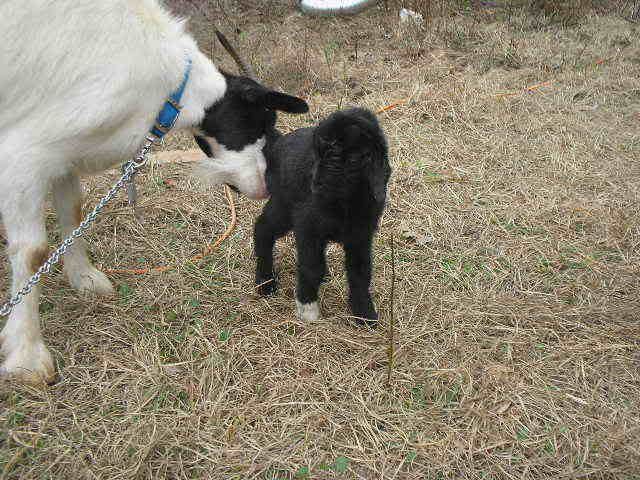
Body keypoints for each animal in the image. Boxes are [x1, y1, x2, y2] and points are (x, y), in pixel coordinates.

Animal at [0, 0, 308, 383]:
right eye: (260, 122)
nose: (266, 185)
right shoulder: (24, 156)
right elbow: (33, 252)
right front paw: (27, 358)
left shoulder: (62, 150)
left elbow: (73, 211)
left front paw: (85, 280)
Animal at [252, 108, 390, 326]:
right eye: (316, 155)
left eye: (336, 157)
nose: (314, 185)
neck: (346, 202)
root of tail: (278, 143)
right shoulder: (307, 226)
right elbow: (311, 267)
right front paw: (307, 307)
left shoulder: (361, 235)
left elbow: (360, 271)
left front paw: (364, 311)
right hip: (283, 205)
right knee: (263, 228)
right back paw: (265, 281)